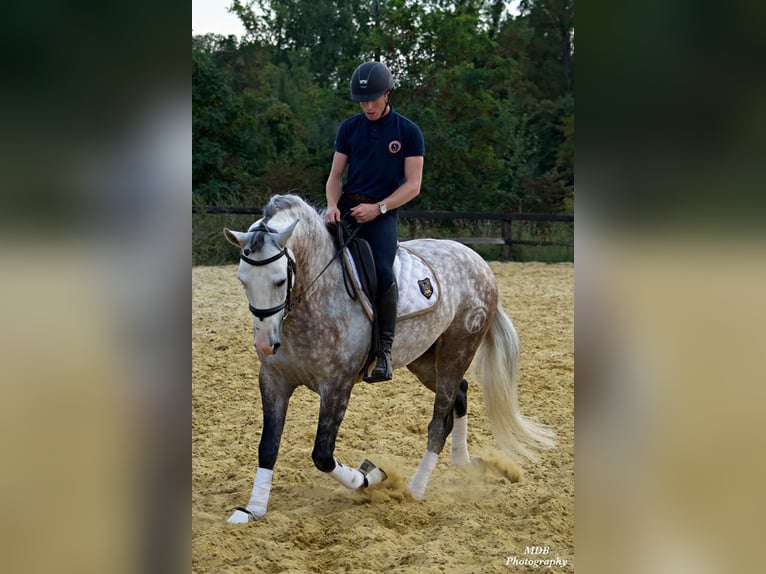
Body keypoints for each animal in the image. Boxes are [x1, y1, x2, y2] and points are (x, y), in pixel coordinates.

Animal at [222, 194, 555, 523]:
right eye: (242, 280)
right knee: (459, 393)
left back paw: (415, 490)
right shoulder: (274, 380)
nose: (265, 344)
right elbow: (268, 446)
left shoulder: (337, 386)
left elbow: (323, 455)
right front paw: (252, 509)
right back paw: (461, 462)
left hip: (458, 348)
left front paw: (373, 477)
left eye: (280, 280)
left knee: (438, 422)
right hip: (423, 359)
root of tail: (477, 260)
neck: (315, 297)